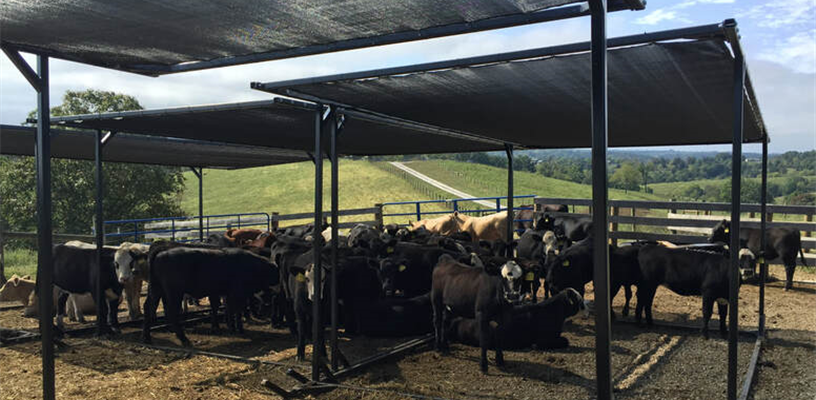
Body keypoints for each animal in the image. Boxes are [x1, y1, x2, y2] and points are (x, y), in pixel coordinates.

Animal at [142, 247, 278, 346]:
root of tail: (162, 253)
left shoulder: (227, 294)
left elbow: (228, 309)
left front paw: (230, 328)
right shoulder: (237, 293)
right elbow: (236, 311)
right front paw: (238, 329)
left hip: (156, 290)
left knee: (148, 307)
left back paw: (147, 338)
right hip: (174, 293)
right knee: (171, 313)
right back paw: (184, 340)